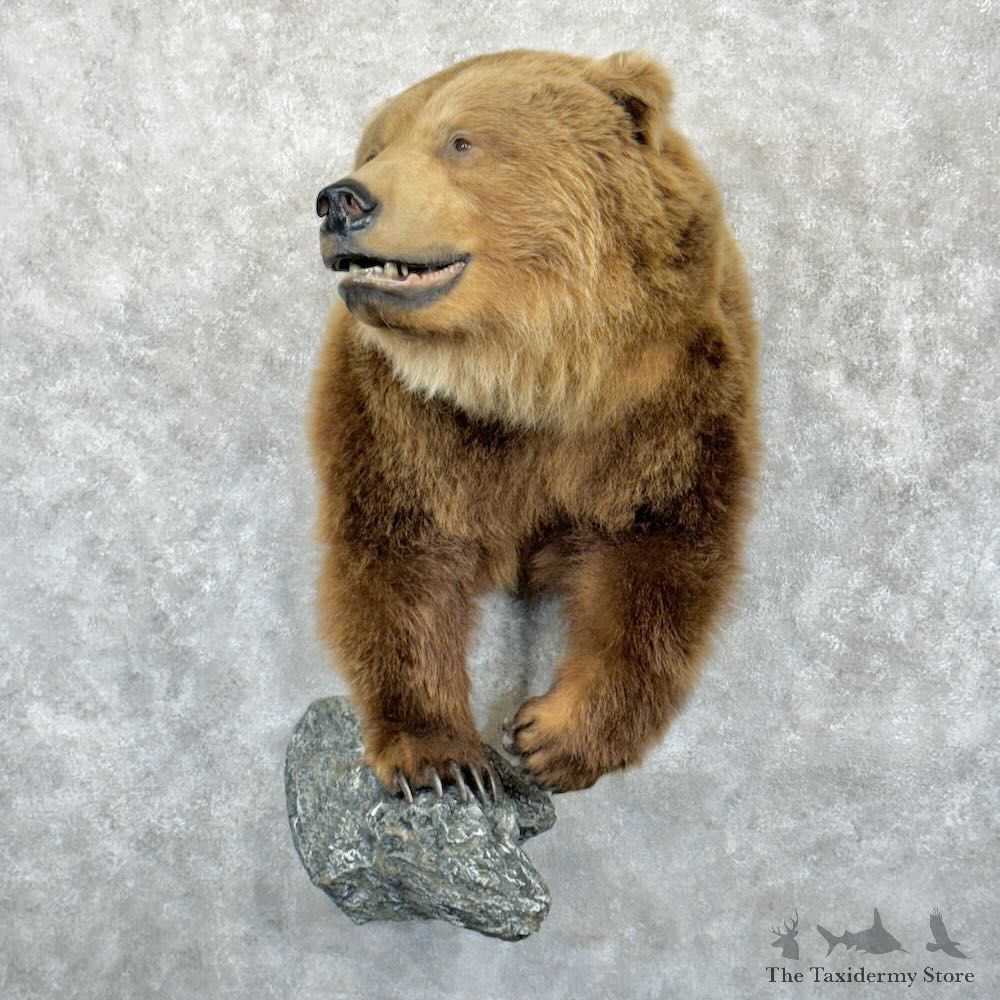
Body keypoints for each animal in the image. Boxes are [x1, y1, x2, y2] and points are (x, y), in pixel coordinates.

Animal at [308, 50, 758, 799]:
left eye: (460, 141)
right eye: (375, 147)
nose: (341, 200)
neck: (529, 381)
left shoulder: (666, 401)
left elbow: (654, 560)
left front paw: (551, 739)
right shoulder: (403, 416)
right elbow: (401, 559)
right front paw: (442, 759)